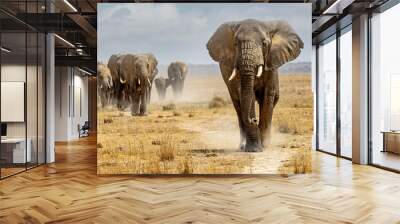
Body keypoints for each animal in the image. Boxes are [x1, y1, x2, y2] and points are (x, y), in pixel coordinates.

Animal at [206, 19, 304, 152]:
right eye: (235, 44)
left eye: (264, 43)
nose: (254, 120)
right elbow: (248, 93)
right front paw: (254, 149)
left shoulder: (271, 61)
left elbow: (269, 94)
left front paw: (264, 145)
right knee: (237, 105)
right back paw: (242, 145)